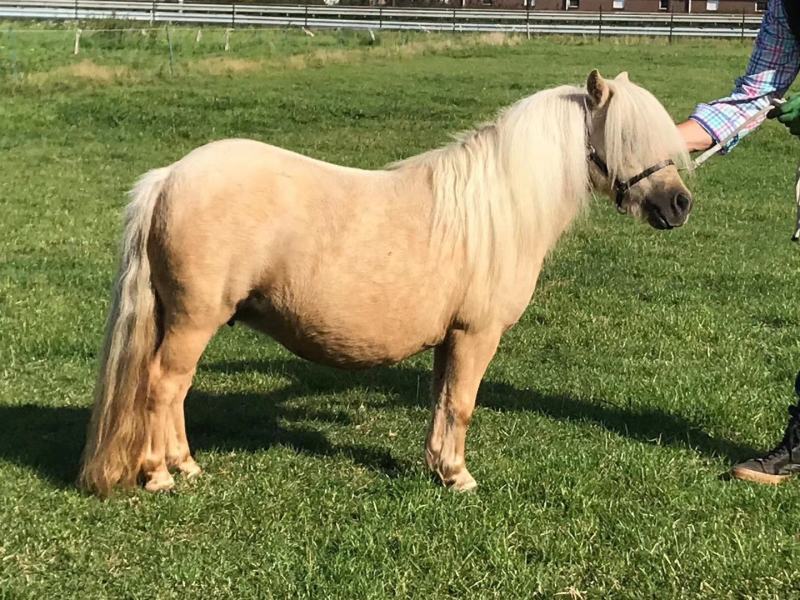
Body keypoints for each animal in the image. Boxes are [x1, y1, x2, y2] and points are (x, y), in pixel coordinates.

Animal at [79, 70, 692, 497]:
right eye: (627, 137)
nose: (679, 204)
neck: (499, 207)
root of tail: (169, 177)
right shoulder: (477, 335)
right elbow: (462, 404)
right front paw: (460, 477)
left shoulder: (452, 338)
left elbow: (443, 401)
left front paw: (439, 468)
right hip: (193, 320)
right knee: (163, 386)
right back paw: (161, 475)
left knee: (175, 389)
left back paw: (185, 464)